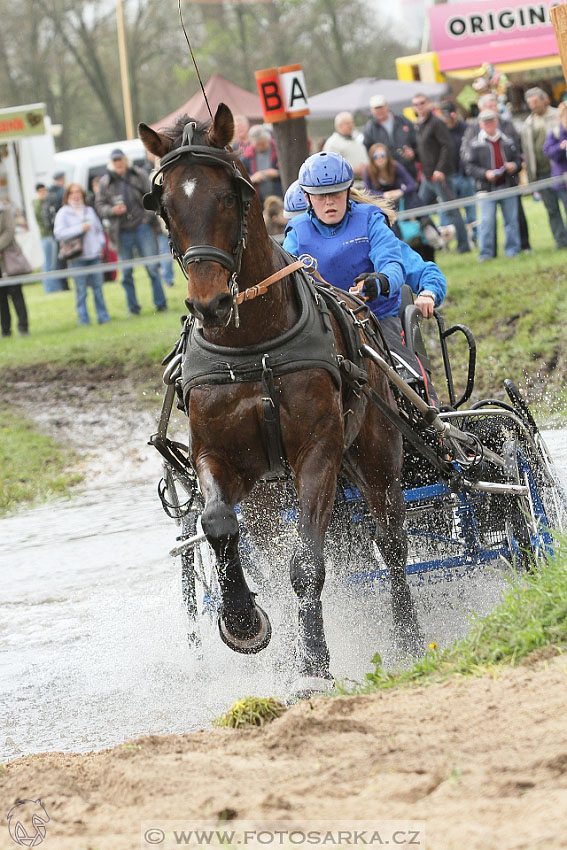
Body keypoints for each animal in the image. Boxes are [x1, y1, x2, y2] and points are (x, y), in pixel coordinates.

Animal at [138, 102, 422, 692]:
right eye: (165, 206)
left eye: (232, 194)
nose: (209, 303)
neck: (253, 346)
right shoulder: (217, 455)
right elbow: (218, 526)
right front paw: (244, 620)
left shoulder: (318, 451)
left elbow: (308, 565)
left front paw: (313, 665)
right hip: (269, 496)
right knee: (262, 551)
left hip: (377, 451)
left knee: (391, 541)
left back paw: (405, 634)